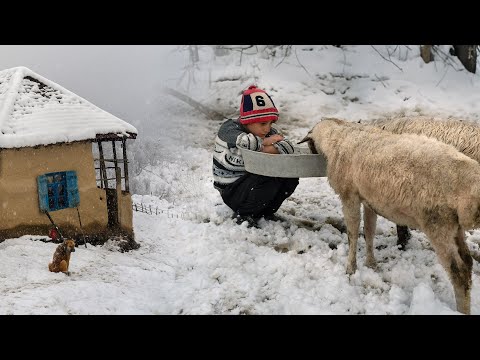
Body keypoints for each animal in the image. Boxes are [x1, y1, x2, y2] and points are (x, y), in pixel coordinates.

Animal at [300, 117, 476, 312]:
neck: (339, 135)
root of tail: (471, 185)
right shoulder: (369, 200)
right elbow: (369, 231)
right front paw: (371, 264)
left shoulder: (349, 196)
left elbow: (352, 233)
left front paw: (350, 269)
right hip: (454, 226)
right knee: (467, 262)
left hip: (438, 224)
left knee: (458, 271)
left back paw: (461, 310)